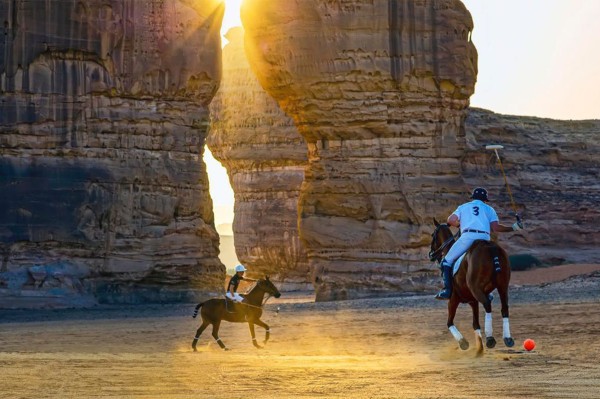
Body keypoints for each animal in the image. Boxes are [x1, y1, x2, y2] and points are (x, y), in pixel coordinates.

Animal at [426, 219, 516, 354]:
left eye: (432, 235)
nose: (431, 254)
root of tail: (491, 248)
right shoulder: (473, 301)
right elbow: (475, 324)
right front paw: (479, 348)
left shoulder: (453, 299)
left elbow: (449, 322)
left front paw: (463, 343)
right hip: (502, 287)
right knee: (504, 308)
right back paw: (507, 338)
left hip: (476, 289)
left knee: (488, 305)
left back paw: (490, 338)